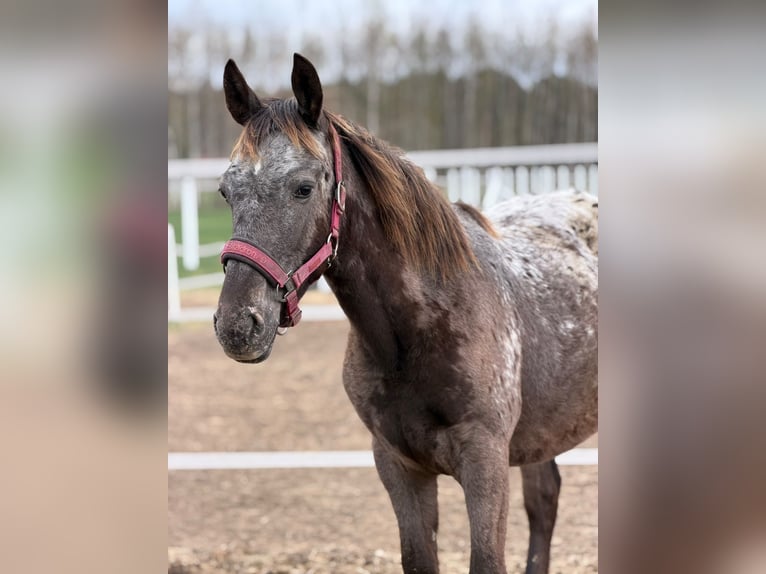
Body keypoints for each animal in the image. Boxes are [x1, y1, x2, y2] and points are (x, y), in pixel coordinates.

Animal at [213, 53, 598, 574]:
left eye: (303, 188)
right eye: (226, 191)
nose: (238, 325)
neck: (416, 333)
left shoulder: (485, 462)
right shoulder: (399, 466)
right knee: (544, 500)